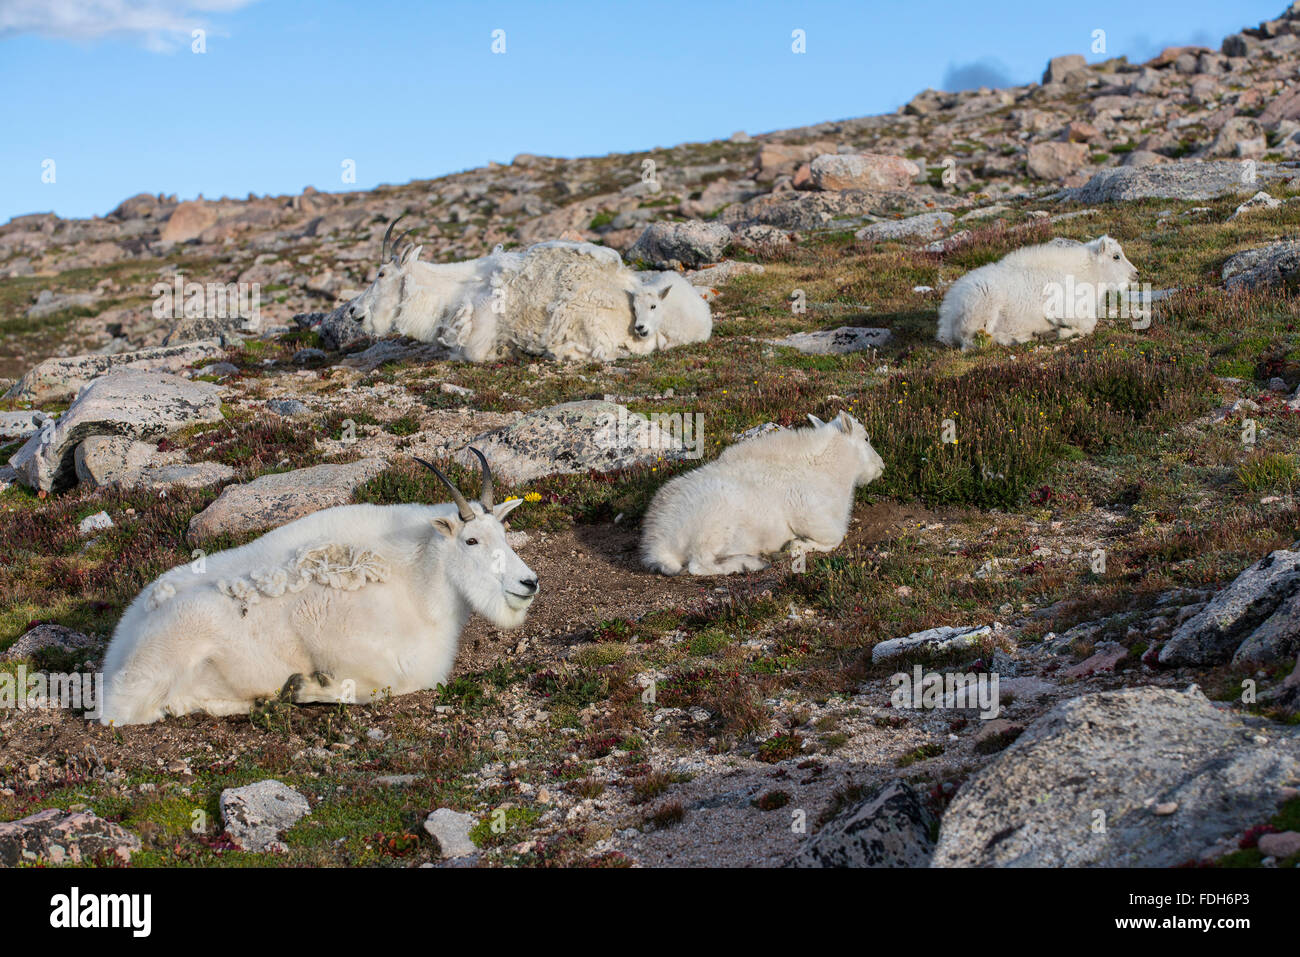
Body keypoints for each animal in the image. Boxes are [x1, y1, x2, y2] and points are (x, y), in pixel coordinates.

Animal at [98, 449, 538, 722]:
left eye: (504, 533)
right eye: (471, 541)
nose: (529, 582)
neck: (414, 587)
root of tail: (119, 646)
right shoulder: (355, 651)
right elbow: (374, 687)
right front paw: (304, 686)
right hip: (167, 655)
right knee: (125, 713)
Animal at [639, 410, 883, 574]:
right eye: (866, 438)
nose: (881, 465)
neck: (825, 469)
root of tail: (658, 541)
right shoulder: (814, 519)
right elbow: (834, 539)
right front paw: (794, 546)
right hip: (712, 528)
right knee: (698, 565)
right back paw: (750, 564)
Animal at [935, 236, 1138, 351]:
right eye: (1116, 256)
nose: (1136, 274)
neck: (1086, 274)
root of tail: (947, 314)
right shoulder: (1064, 308)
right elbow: (1088, 325)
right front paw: (1059, 332)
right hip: (983, 307)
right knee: (973, 342)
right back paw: (1016, 339)